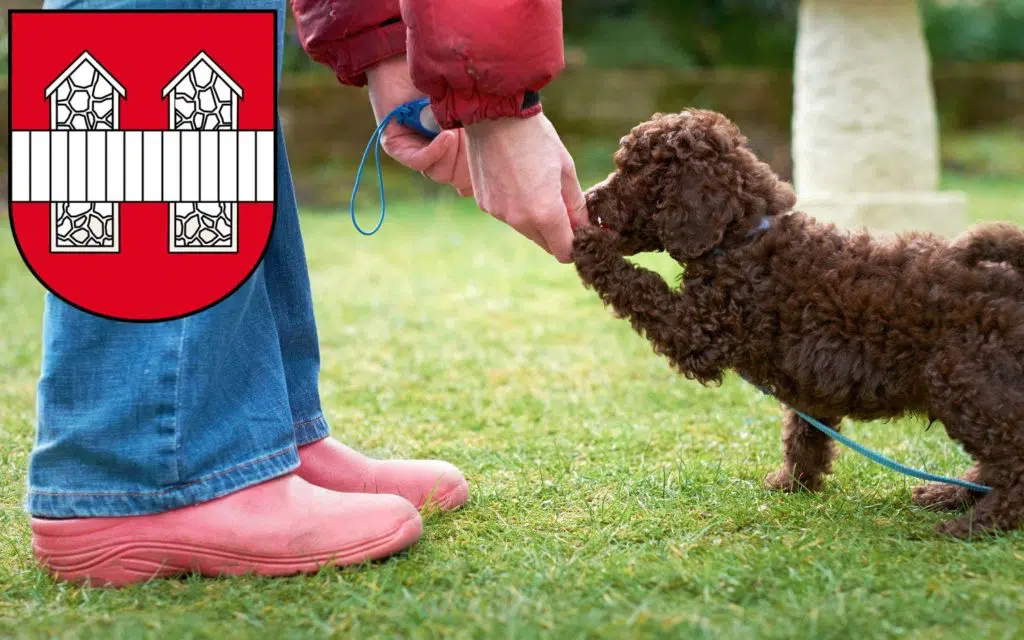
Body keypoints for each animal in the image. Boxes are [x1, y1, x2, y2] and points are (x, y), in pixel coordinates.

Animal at [577, 107, 1024, 536]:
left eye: (636, 171)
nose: (588, 198)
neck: (743, 237)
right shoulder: (811, 381)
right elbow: (802, 433)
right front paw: (793, 483)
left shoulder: (700, 329)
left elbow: (642, 286)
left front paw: (588, 246)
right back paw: (950, 495)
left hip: (967, 384)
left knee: (1012, 459)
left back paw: (977, 523)